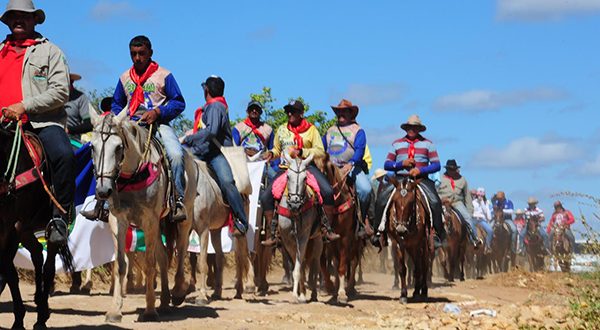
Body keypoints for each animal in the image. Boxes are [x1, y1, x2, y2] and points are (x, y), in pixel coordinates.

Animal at [0, 122, 74, 328]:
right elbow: (8, 271)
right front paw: (19, 318)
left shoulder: (12, 226)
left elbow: (8, 271)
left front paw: (19, 319)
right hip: (26, 231)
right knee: (37, 255)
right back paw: (40, 303)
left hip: (48, 229)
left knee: (48, 266)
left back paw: (41, 316)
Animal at [88, 109, 196, 320]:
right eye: (92, 147)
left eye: (118, 147)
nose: (104, 191)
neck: (134, 174)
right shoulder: (117, 220)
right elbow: (121, 264)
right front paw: (115, 310)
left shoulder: (150, 221)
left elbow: (149, 263)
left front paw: (149, 310)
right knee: (163, 257)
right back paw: (164, 301)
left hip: (182, 219)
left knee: (180, 250)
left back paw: (178, 291)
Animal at [276, 153, 324, 302]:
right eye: (287, 176)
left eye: (305, 178)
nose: (295, 204)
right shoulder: (287, 239)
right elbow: (298, 265)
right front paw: (299, 293)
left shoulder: (303, 237)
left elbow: (299, 266)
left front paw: (297, 295)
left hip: (317, 241)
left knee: (315, 265)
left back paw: (314, 294)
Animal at [318, 157, 366, 302]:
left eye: (322, 173)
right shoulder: (326, 238)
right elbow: (324, 263)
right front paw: (330, 287)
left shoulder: (345, 237)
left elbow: (343, 265)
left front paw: (342, 293)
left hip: (358, 242)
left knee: (354, 261)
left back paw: (350, 287)